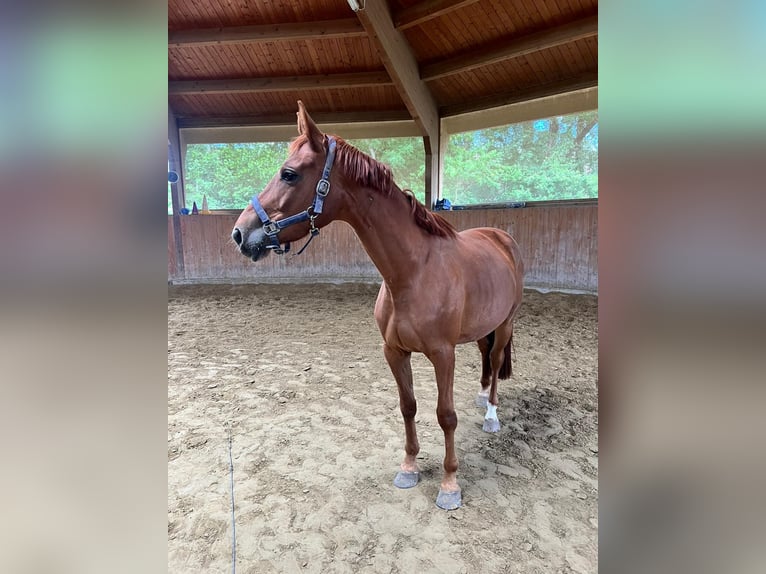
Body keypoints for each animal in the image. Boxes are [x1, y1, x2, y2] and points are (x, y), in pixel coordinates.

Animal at [232, 101, 524, 510]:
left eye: (288, 174)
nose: (240, 234)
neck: (414, 272)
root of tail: (501, 237)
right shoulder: (394, 351)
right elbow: (408, 406)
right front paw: (409, 466)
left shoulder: (443, 354)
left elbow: (445, 415)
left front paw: (450, 484)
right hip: (485, 326)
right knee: (484, 356)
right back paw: (482, 398)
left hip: (507, 323)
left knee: (495, 363)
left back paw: (492, 415)